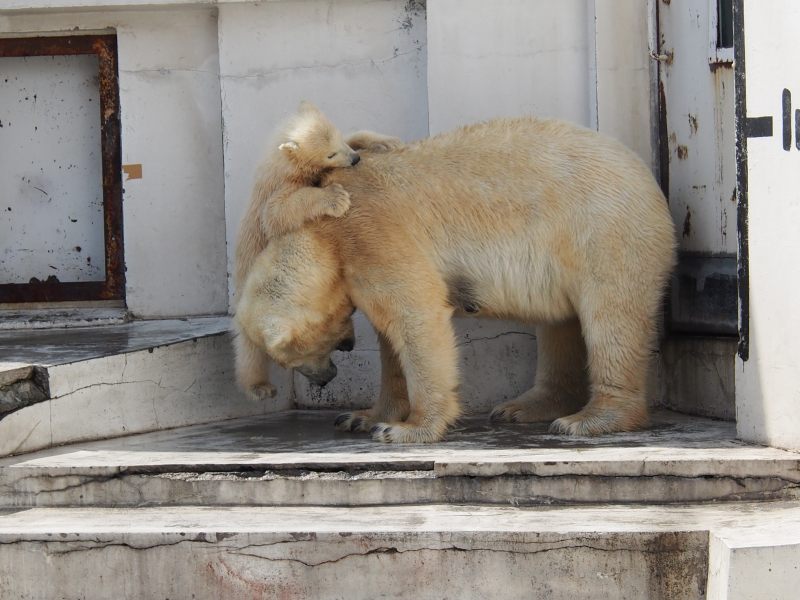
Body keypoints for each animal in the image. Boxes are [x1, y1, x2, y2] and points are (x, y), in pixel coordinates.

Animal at [236, 117, 676, 442]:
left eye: (291, 356)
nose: (327, 378)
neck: (320, 227)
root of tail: (647, 178)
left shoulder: (371, 230)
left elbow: (417, 314)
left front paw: (406, 429)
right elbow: (389, 338)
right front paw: (362, 416)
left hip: (603, 230)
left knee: (611, 318)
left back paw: (588, 419)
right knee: (559, 323)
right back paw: (523, 407)